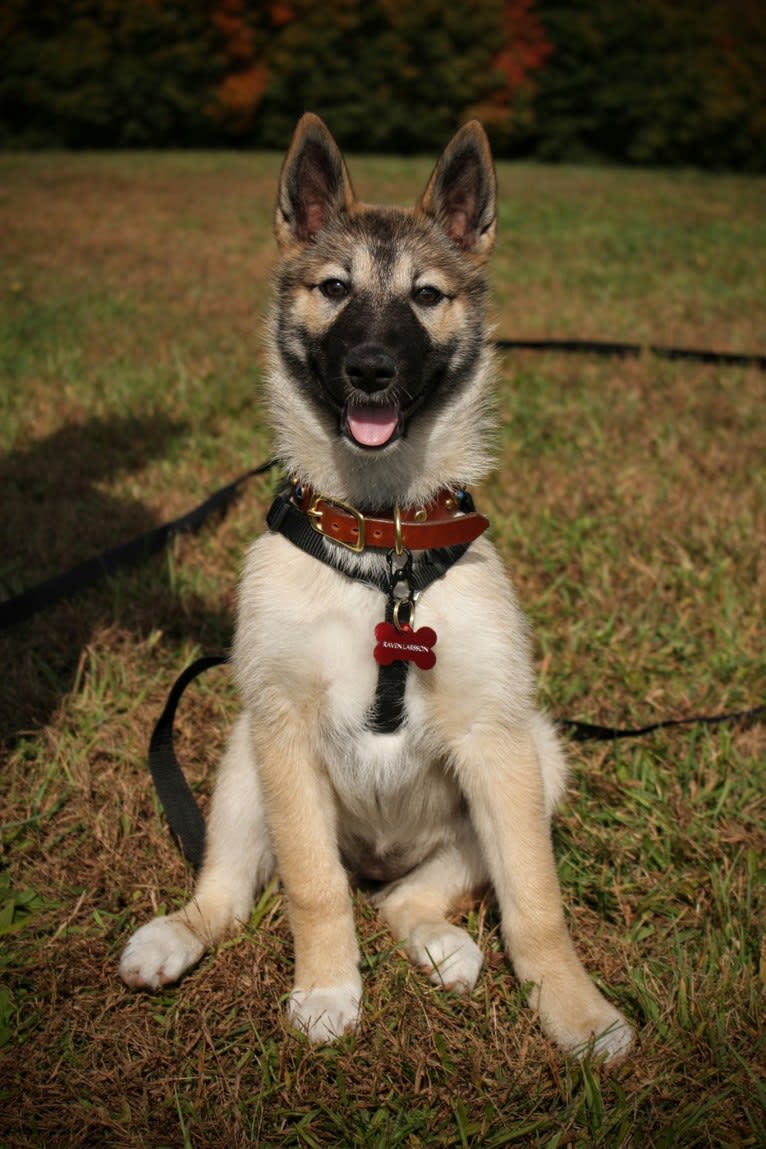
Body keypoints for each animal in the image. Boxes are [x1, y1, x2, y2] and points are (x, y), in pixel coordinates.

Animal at [120, 112, 633, 1061]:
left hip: (542, 757)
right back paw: (177, 934)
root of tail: (383, 857)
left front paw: (577, 1013)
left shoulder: (499, 742)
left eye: (427, 296)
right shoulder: (284, 730)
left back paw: (440, 942)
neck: (382, 543)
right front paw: (328, 986)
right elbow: (312, 887)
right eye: (333, 287)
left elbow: (536, 905)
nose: (369, 369)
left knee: (407, 896)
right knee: (233, 888)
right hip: (245, 759)